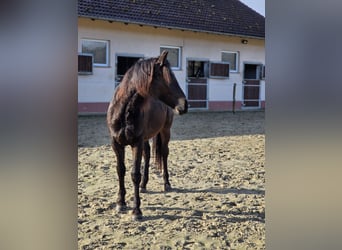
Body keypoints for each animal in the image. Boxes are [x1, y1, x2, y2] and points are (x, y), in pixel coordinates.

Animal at [106, 51, 187, 221]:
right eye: (164, 76)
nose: (184, 105)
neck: (123, 112)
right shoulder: (116, 143)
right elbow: (120, 170)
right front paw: (120, 203)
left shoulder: (135, 143)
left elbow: (135, 174)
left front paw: (136, 211)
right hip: (145, 138)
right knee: (148, 154)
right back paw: (144, 185)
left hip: (165, 131)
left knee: (164, 154)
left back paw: (166, 184)